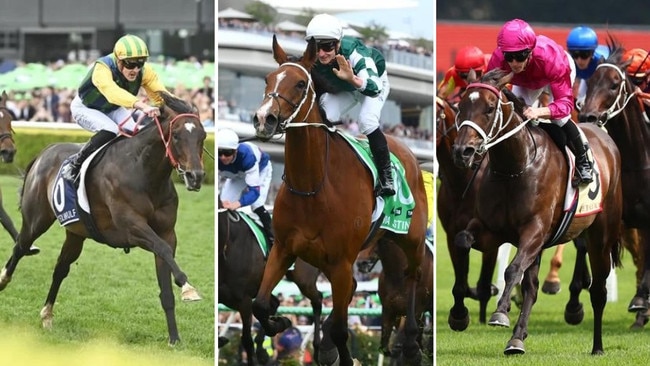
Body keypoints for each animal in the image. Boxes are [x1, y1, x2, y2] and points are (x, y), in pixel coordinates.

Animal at [0, 91, 205, 344]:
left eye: (202, 136)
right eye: (176, 136)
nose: (196, 176)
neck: (144, 173)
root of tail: (43, 153)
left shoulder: (167, 232)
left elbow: (166, 279)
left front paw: (174, 338)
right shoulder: (132, 228)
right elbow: (163, 250)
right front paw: (188, 287)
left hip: (76, 232)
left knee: (60, 268)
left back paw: (47, 315)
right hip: (36, 220)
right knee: (20, 246)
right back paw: (3, 280)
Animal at [248, 36, 426, 366]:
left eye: (300, 83)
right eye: (268, 79)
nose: (264, 119)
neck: (313, 188)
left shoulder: (342, 263)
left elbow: (343, 330)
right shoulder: (284, 249)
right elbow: (260, 304)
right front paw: (281, 323)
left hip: (412, 239)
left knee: (413, 276)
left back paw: (411, 342)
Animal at [450, 68, 624, 354]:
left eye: (489, 108)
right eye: (460, 106)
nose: (462, 151)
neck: (514, 166)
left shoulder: (534, 231)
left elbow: (512, 270)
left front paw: (500, 313)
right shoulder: (491, 230)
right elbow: (463, 241)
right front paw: (458, 314)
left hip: (601, 236)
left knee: (598, 291)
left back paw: (597, 346)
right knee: (531, 287)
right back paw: (517, 339)